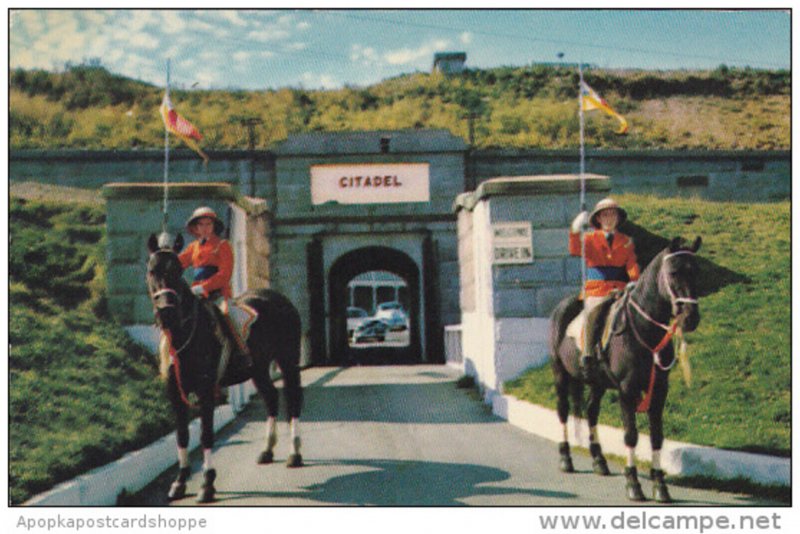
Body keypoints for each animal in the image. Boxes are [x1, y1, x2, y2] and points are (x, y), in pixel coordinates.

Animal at [146, 233, 304, 502]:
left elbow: (206, 434)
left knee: (292, 400)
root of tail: (280, 298)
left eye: (177, 271)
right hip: (259, 369)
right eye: (151, 270)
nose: (166, 312)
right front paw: (180, 481)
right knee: (271, 397)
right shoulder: (175, 394)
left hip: (288, 362)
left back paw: (294, 454)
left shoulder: (206, 391)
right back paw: (267, 450)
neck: (185, 336)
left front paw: (207, 483)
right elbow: (182, 435)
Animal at [552, 237, 700, 504]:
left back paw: (599, 460)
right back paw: (565, 457)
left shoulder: (659, 389)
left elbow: (656, 436)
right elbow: (631, 434)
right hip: (560, 375)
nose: (691, 317)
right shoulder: (626, 390)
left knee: (591, 412)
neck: (644, 329)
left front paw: (660, 485)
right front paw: (633, 483)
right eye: (674, 272)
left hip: (597, 383)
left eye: (697, 271)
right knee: (563, 411)